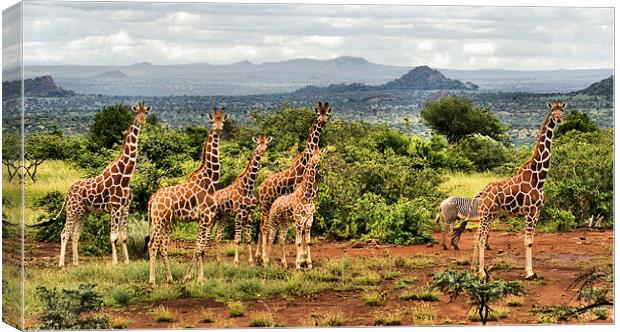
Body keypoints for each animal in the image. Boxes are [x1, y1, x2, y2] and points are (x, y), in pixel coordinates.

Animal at [57, 101, 151, 268]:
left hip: (83, 212)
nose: (142, 121)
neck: (125, 177)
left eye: (145, 113)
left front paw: (126, 261)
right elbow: (113, 237)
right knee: (65, 233)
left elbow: (124, 236)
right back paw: (61, 264)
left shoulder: (125, 208)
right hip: (72, 211)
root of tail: (68, 192)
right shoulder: (115, 208)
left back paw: (76, 263)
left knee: (75, 234)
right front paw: (115, 262)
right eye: (136, 113)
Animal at [147, 107, 226, 284]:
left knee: (162, 247)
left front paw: (200, 277)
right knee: (153, 245)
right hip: (159, 220)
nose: (218, 130)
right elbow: (199, 248)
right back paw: (152, 280)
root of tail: (153, 198)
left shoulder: (206, 219)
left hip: (165, 222)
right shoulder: (205, 217)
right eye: (213, 120)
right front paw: (189, 277)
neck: (210, 179)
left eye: (223, 120)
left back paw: (169, 278)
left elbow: (202, 248)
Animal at [212, 135, 272, 264]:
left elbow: (248, 238)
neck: (248, 188)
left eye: (266, 145)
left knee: (217, 234)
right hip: (213, 216)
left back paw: (219, 260)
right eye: (257, 145)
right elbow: (237, 239)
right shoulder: (238, 214)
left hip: (223, 217)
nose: (262, 152)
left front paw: (251, 262)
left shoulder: (250, 214)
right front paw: (236, 262)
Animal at [253, 101, 330, 264]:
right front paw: (301, 258)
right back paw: (262, 256)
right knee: (264, 226)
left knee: (262, 225)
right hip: (265, 204)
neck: (304, 162)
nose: (322, 121)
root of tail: (260, 187)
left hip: (266, 206)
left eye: (327, 113)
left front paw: (304, 257)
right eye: (317, 113)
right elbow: (299, 230)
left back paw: (259, 255)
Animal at [472, 100, 564, 278]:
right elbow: (527, 242)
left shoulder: (537, 212)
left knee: (477, 236)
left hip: (489, 215)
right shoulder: (529, 212)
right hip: (486, 214)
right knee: (481, 239)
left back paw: (476, 270)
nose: (559, 119)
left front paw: (530, 271)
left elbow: (531, 241)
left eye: (562, 110)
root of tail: (482, 193)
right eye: (552, 111)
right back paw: (481, 274)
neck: (538, 178)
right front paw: (529, 273)